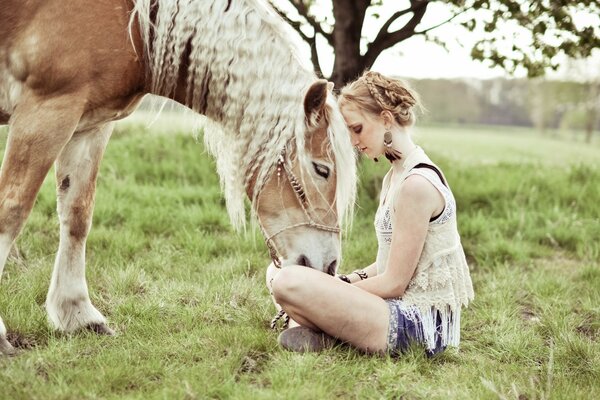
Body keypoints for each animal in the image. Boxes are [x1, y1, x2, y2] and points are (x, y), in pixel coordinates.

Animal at [0, 0, 356, 356]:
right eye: (322, 169)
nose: (330, 267)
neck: (134, 28)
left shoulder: (89, 126)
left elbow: (77, 216)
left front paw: (78, 315)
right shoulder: (46, 111)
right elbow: (11, 211)